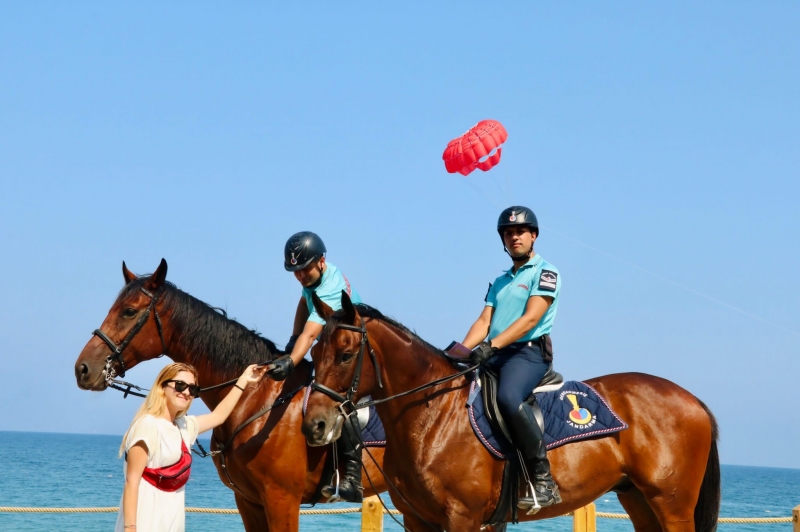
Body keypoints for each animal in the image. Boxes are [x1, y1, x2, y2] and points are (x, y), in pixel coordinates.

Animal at [304, 296, 720, 532]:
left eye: (345, 355)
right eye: (314, 352)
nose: (315, 425)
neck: (432, 416)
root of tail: (693, 400)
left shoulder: (462, 518)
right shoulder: (418, 520)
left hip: (672, 505)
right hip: (639, 500)